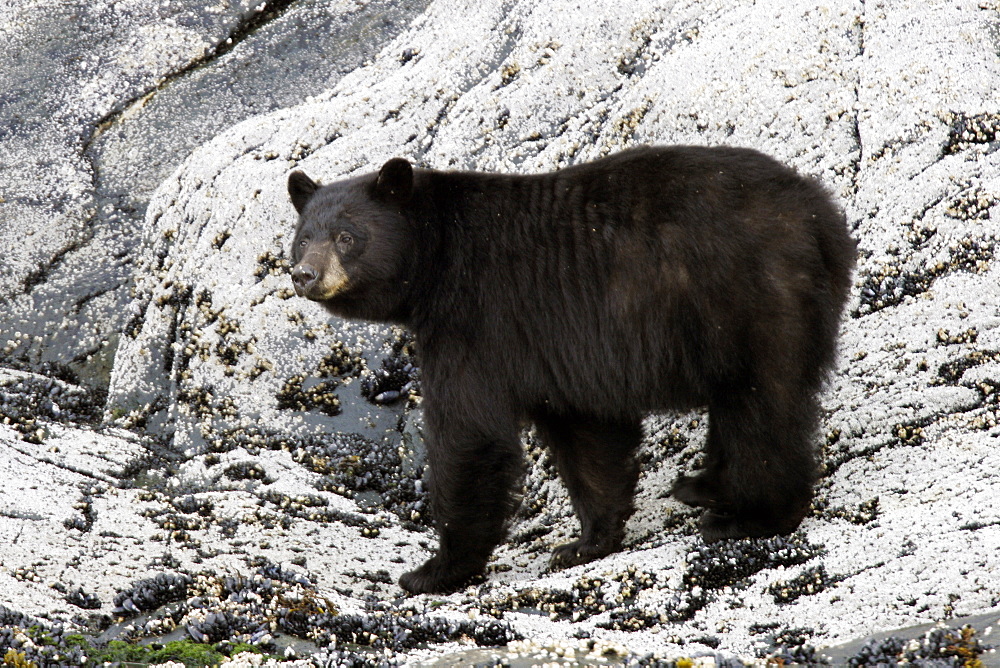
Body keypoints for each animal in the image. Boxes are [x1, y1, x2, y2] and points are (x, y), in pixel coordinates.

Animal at [286, 146, 856, 596]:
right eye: (302, 236)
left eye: (345, 236)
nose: (304, 274)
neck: (438, 254)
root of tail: (818, 212)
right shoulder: (554, 350)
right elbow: (586, 436)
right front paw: (585, 542)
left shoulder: (477, 319)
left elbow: (471, 435)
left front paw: (435, 569)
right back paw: (704, 486)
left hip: (744, 299)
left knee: (760, 406)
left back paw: (749, 516)